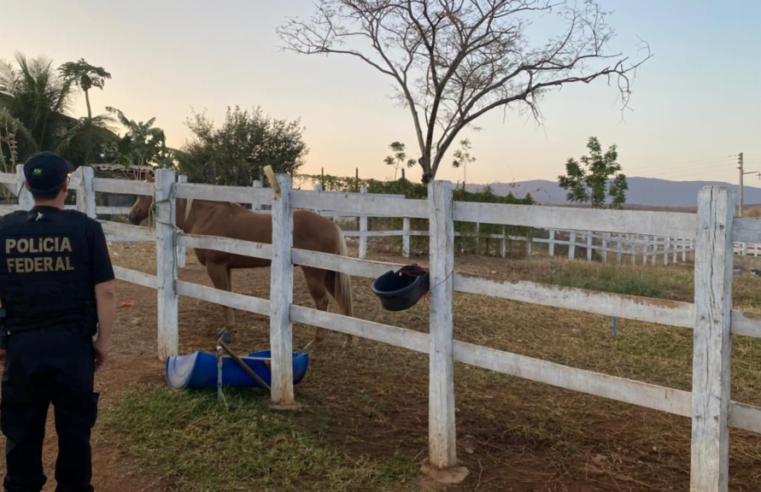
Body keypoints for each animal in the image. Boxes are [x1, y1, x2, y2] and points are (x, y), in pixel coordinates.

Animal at [128, 179, 356, 352]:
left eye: (143, 195)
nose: (132, 216)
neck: (205, 217)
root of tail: (332, 225)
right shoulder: (226, 268)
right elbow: (229, 297)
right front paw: (227, 330)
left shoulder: (216, 266)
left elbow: (223, 299)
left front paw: (227, 334)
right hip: (330, 274)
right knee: (341, 300)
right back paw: (348, 340)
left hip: (314, 274)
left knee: (322, 303)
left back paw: (314, 343)